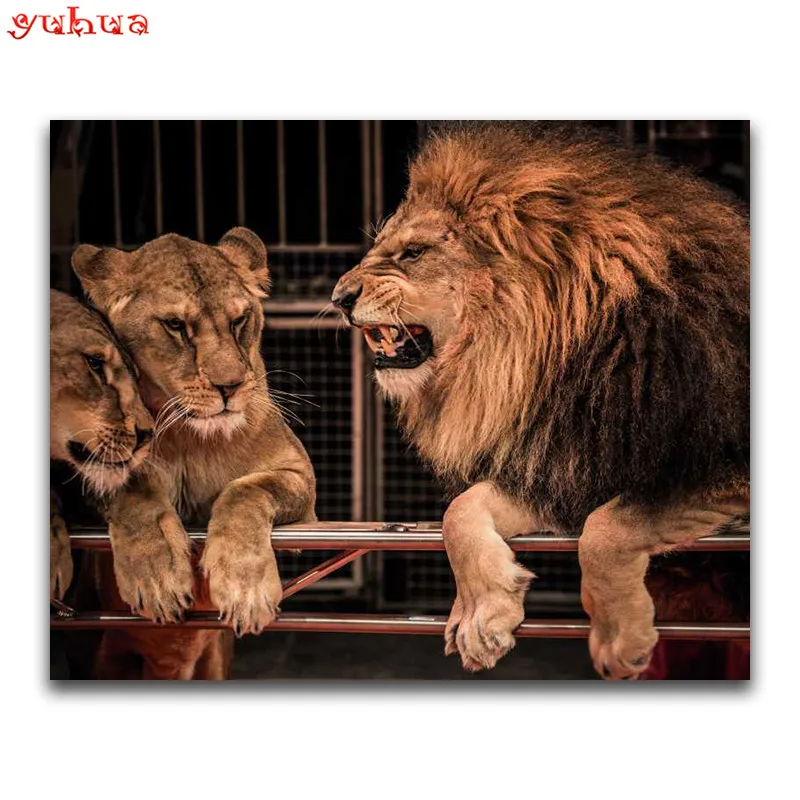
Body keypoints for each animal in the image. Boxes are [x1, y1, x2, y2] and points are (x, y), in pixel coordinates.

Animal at [72, 227, 316, 680]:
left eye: (239, 320)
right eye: (175, 325)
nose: (230, 386)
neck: (192, 437)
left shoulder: (301, 487)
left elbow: (245, 490)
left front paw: (244, 585)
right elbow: (134, 490)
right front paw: (157, 576)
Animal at [332, 122, 749, 680]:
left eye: (414, 253)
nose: (338, 298)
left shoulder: (710, 467)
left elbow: (607, 529)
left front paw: (619, 641)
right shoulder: (560, 467)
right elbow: (460, 511)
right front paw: (482, 615)